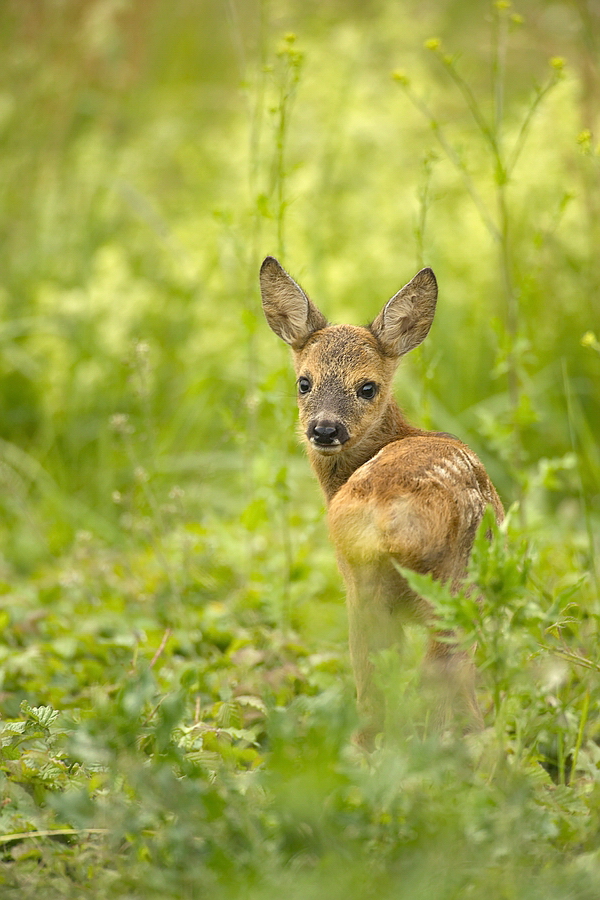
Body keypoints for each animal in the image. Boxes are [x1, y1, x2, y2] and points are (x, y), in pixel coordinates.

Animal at [260, 255, 504, 744]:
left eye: (367, 387)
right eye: (304, 382)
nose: (325, 429)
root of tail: (393, 522)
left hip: (375, 587)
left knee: (381, 685)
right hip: (447, 589)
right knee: (437, 682)